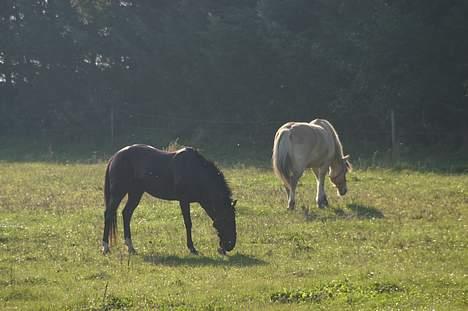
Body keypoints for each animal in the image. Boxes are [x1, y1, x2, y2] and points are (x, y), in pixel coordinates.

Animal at [101, 144, 236, 256]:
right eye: (226, 220)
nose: (230, 245)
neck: (195, 171)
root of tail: (115, 157)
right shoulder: (184, 200)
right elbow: (188, 223)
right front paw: (192, 248)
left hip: (135, 193)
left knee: (126, 214)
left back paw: (130, 247)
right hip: (118, 193)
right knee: (109, 214)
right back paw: (105, 247)